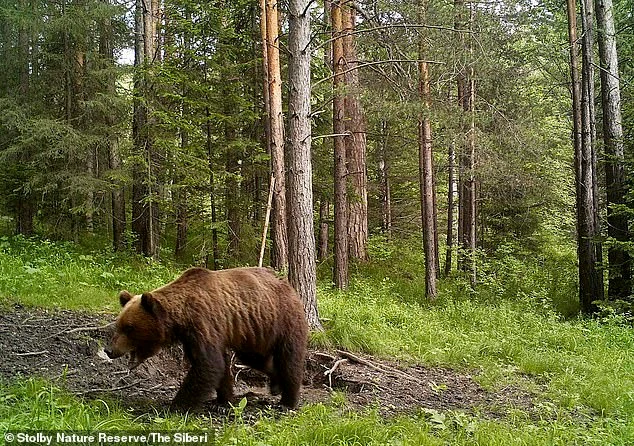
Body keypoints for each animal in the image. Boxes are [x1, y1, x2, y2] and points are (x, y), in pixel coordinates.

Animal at [105, 268, 308, 412]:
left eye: (129, 328)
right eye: (118, 325)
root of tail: (289, 286)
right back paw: (276, 384)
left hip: (284, 320)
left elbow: (208, 364)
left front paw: (175, 406)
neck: (181, 318)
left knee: (289, 358)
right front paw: (223, 402)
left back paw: (288, 401)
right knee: (256, 358)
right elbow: (217, 365)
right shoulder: (191, 336)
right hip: (255, 331)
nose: (109, 350)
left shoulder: (203, 323)